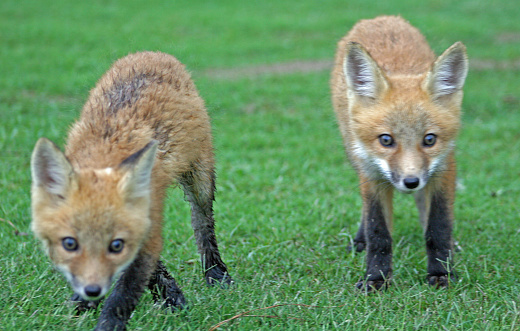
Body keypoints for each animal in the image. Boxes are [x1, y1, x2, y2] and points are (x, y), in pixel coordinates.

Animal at [29, 51, 231, 330]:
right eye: (70, 244)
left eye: (114, 244)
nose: (92, 290)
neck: (104, 154)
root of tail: (152, 53)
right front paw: (169, 295)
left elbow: (124, 293)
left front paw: (109, 321)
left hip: (200, 177)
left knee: (203, 226)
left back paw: (216, 272)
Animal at [332, 15, 470, 292]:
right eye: (386, 140)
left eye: (429, 139)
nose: (411, 181)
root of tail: (380, 18)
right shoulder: (371, 174)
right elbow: (378, 232)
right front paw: (376, 277)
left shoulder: (444, 167)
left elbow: (438, 226)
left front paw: (441, 271)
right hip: (354, 154)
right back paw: (360, 240)